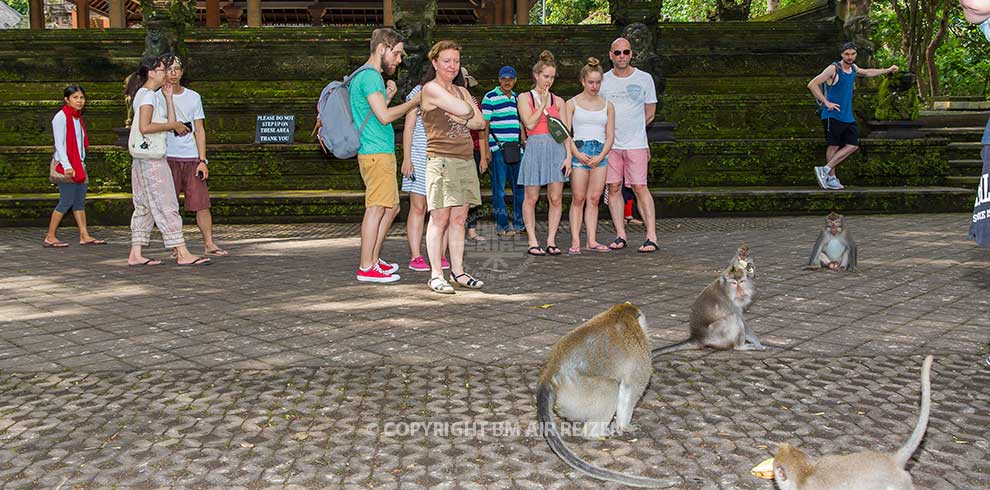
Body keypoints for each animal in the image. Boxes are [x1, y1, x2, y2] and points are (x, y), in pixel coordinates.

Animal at [540, 302, 680, 486]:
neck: (621, 314)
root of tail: (551, 373)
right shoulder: (641, 352)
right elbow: (630, 388)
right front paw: (625, 426)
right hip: (580, 392)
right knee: (611, 387)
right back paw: (594, 433)